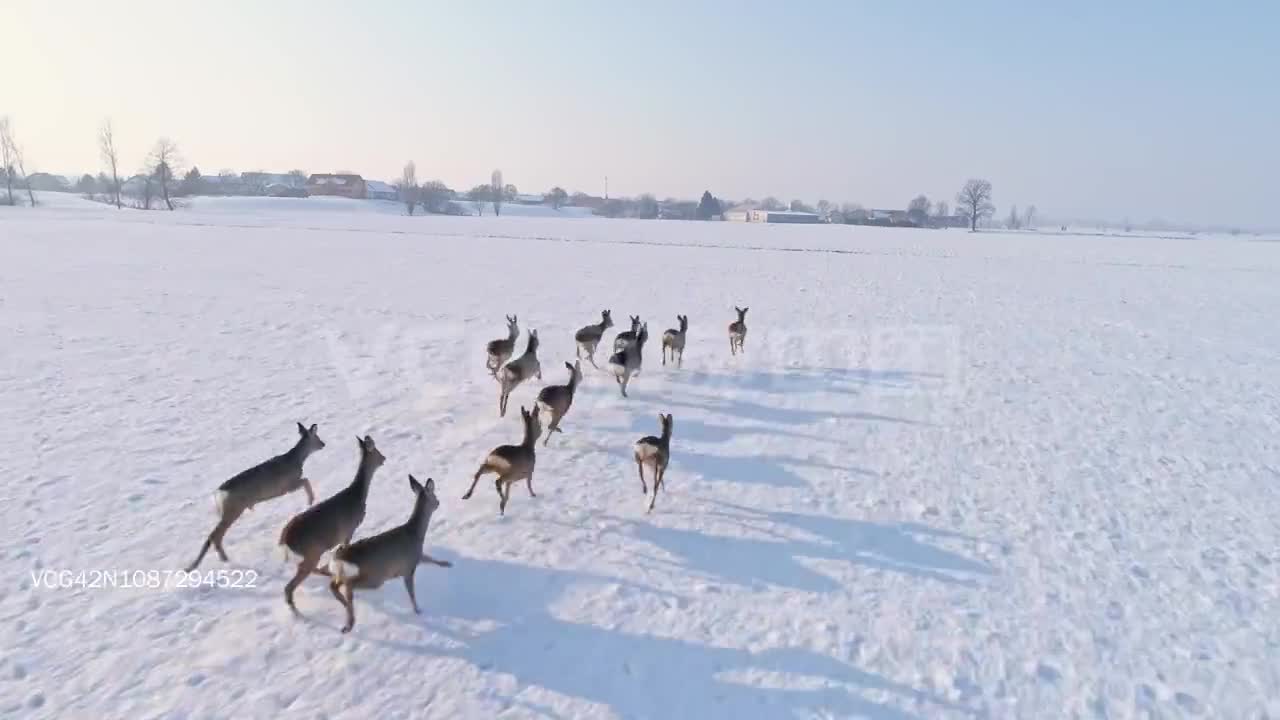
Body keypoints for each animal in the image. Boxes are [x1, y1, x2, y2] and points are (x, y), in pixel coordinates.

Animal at [185, 420, 325, 571]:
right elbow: (306, 481)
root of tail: (219, 493)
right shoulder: (287, 486)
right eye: (317, 437)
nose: (323, 444)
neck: (296, 459)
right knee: (215, 534)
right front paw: (311, 501)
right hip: (234, 508)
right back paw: (219, 560)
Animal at [277, 430, 381, 609]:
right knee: (293, 581)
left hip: (312, 552)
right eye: (377, 452)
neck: (357, 495)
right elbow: (344, 547)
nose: (384, 458)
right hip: (313, 550)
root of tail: (285, 540)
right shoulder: (349, 530)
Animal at [327, 474, 453, 630]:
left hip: (348, 574)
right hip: (375, 577)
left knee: (335, 585)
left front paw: (447, 563)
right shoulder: (408, 568)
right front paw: (417, 610)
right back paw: (349, 623)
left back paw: (345, 610)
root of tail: (339, 558)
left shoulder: (416, 557)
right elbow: (412, 593)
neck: (415, 533)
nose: (438, 502)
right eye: (434, 496)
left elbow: (430, 558)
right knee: (348, 586)